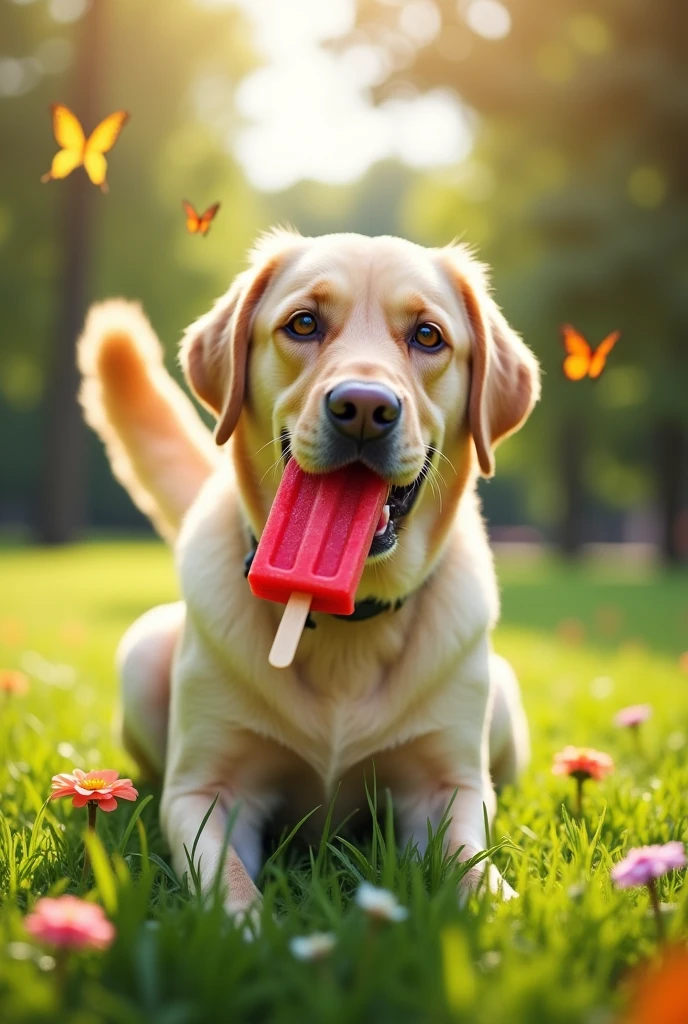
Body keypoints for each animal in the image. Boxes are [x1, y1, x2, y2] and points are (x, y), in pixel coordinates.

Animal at [79, 232, 536, 921]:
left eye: (428, 336)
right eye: (303, 324)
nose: (364, 408)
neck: (344, 620)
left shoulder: (447, 787)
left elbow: (473, 868)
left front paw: (504, 916)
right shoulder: (207, 791)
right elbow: (227, 884)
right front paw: (250, 935)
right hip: (141, 653)